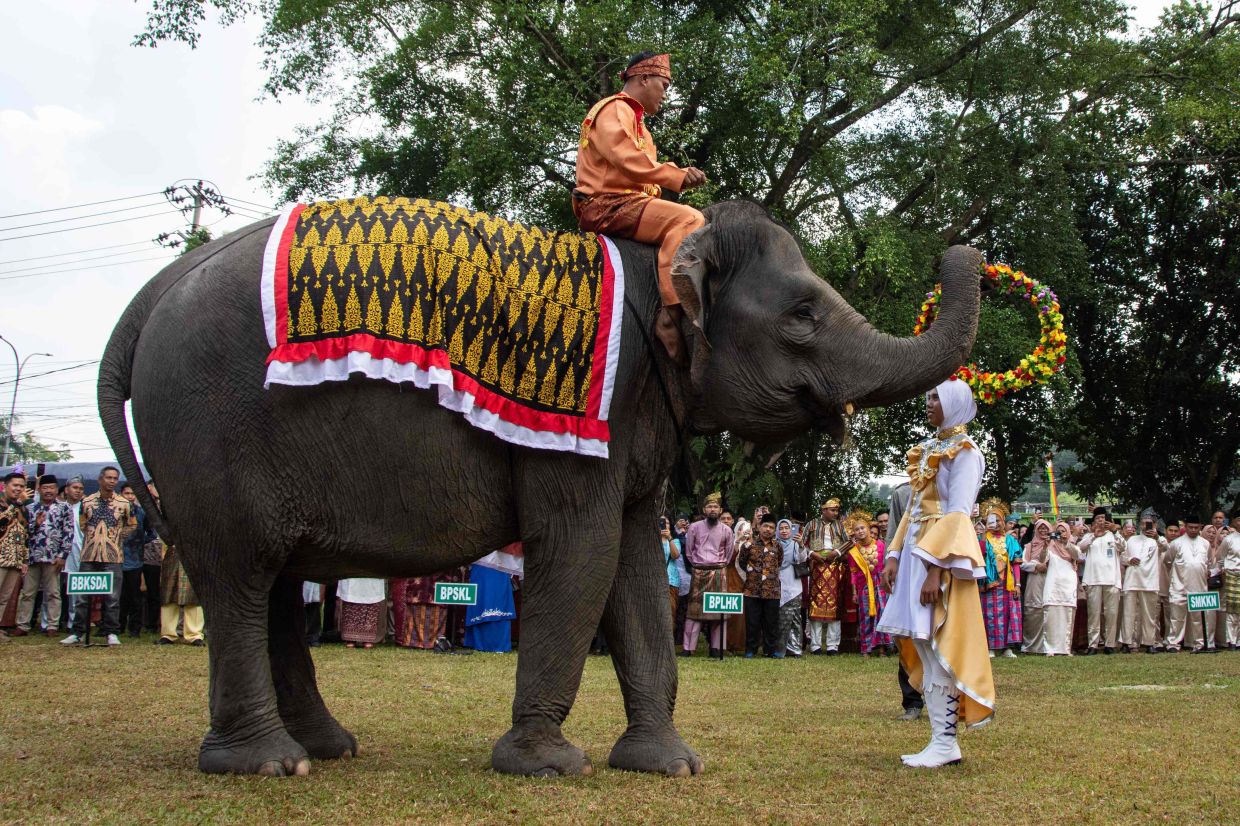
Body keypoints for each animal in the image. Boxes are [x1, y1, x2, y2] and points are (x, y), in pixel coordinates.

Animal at [97, 198, 980, 778]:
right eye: (802, 313)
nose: (961, 252)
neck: (658, 259)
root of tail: (154, 292)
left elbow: (632, 562)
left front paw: (670, 766)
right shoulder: (588, 420)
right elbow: (581, 553)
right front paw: (549, 767)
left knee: (275, 583)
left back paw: (326, 749)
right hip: (209, 432)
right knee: (242, 578)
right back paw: (267, 765)